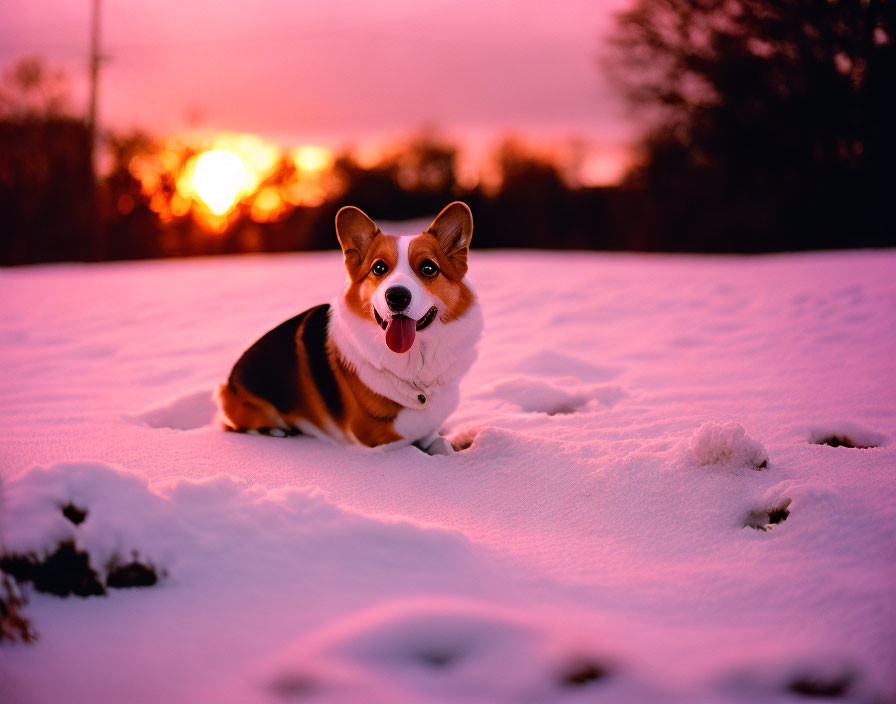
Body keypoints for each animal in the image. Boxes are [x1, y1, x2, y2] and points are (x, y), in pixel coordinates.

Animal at [218, 202, 484, 456]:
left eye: (429, 268)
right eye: (379, 268)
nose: (396, 297)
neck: (414, 367)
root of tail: (226, 384)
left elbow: (442, 445)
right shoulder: (379, 440)